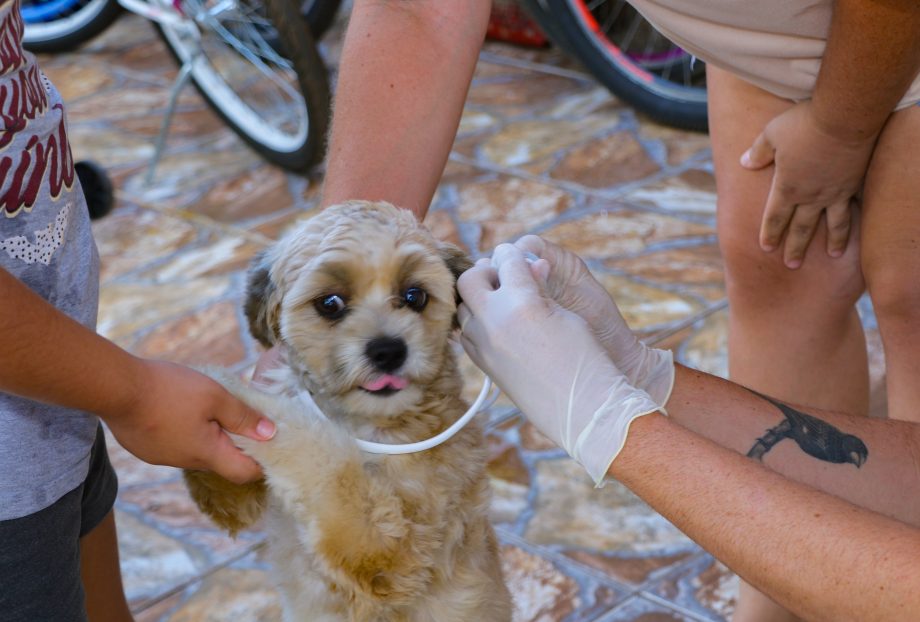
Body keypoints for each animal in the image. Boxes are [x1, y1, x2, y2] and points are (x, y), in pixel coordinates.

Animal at [183, 202, 512, 620]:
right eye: (330, 304)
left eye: (415, 296)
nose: (388, 351)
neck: (364, 423)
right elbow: (229, 494)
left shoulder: (392, 550)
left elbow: (321, 457)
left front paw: (223, 385)